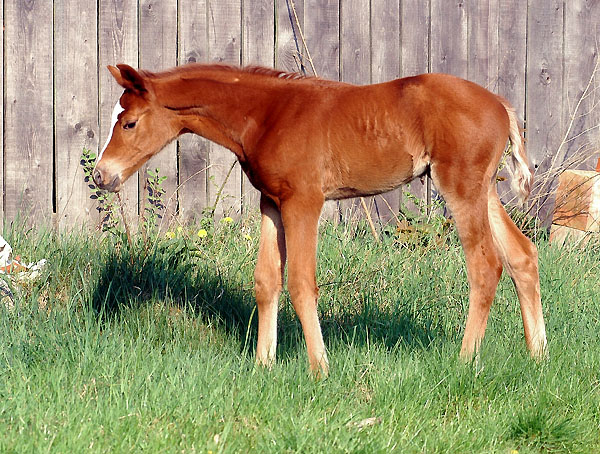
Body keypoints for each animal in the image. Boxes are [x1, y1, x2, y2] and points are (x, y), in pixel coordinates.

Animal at [94, 63, 548, 376]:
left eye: (129, 122)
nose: (101, 175)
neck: (268, 114)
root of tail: (502, 106)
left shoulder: (304, 202)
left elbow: (300, 282)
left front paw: (319, 368)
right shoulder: (272, 202)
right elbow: (266, 280)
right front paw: (263, 364)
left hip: (460, 186)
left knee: (485, 265)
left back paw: (465, 359)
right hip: (484, 189)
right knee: (522, 255)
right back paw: (539, 354)